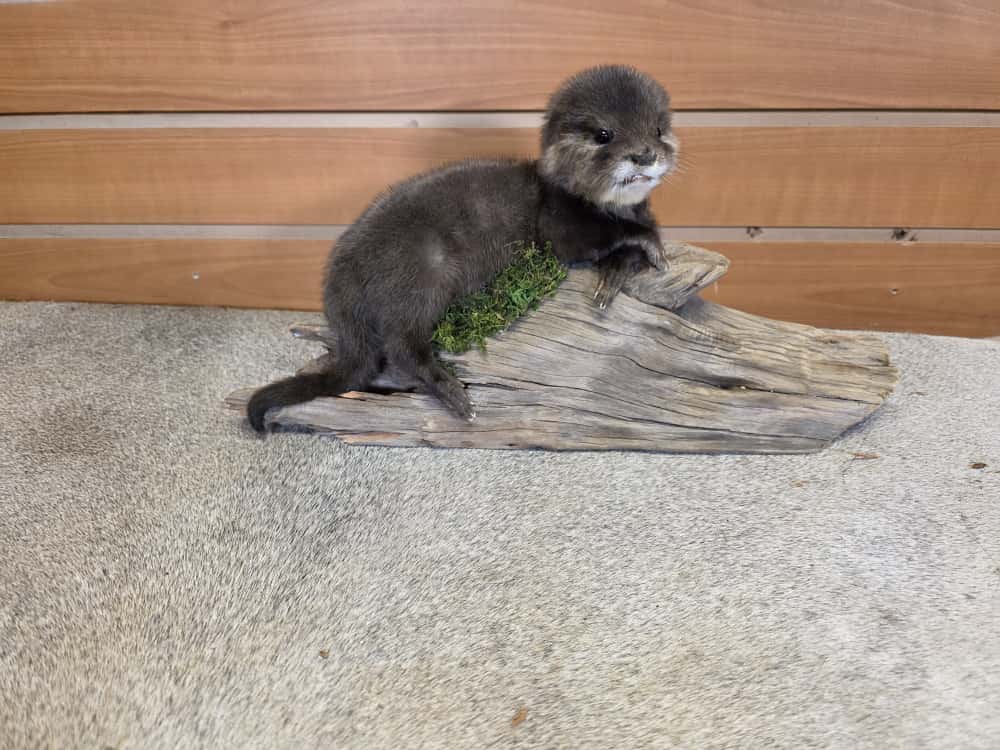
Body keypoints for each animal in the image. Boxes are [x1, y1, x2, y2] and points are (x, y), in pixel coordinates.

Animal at [247, 64, 679, 431]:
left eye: (658, 129)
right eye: (604, 134)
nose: (644, 154)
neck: (586, 201)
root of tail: (341, 277)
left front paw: (622, 266)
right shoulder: (559, 224)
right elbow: (601, 237)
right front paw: (645, 240)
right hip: (422, 273)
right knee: (401, 346)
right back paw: (455, 394)